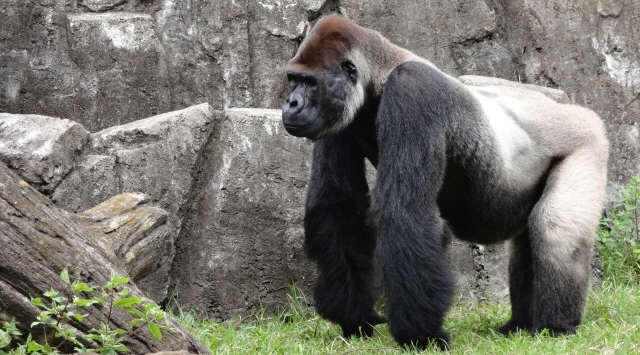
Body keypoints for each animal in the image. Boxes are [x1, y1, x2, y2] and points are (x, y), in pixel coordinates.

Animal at [282, 13, 608, 350]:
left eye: (310, 83)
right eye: (293, 79)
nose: (291, 103)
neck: (381, 73)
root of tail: (576, 110)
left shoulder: (412, 90)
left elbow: (405, 212)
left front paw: (420, 335)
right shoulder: (339, 117)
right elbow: (338, 210)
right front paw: (356, 317)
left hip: (588, 141)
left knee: (555, 225)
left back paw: (556, 327)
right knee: (531, 236)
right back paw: (520, 325)